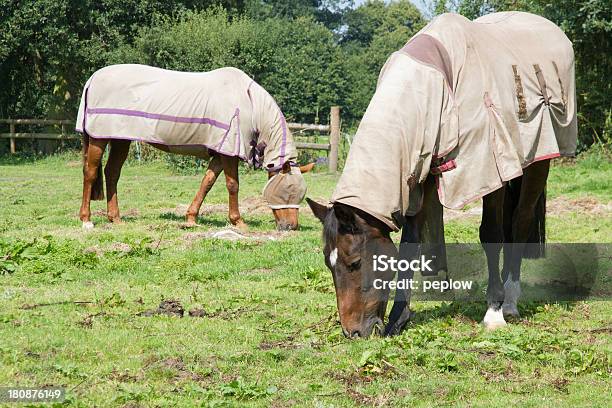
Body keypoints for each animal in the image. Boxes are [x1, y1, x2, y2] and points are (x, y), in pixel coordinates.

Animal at [77, 63, 314, 230]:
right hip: (99, 139)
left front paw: (191, 218)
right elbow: (232, 185)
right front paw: (238, 221)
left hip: (120, 139)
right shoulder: (228, 152)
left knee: (112, 173)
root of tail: (92, 79)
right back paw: (86, 220)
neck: (250, 105)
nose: (291, 227)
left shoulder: (219, 154)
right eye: (287, 191)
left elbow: (207, 182)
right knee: (90, 172)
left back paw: (115, 218)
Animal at [308, 11, 576, 338]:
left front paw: (494, 312)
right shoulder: (415, 178)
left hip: (538, 162)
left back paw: (511, 301)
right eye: (328, 262)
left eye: (355, 262)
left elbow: (491, 234)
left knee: (521, 221)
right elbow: (409, 247)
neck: (432, 91)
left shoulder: (487, 170)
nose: (354, 332)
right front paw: (398, 318)